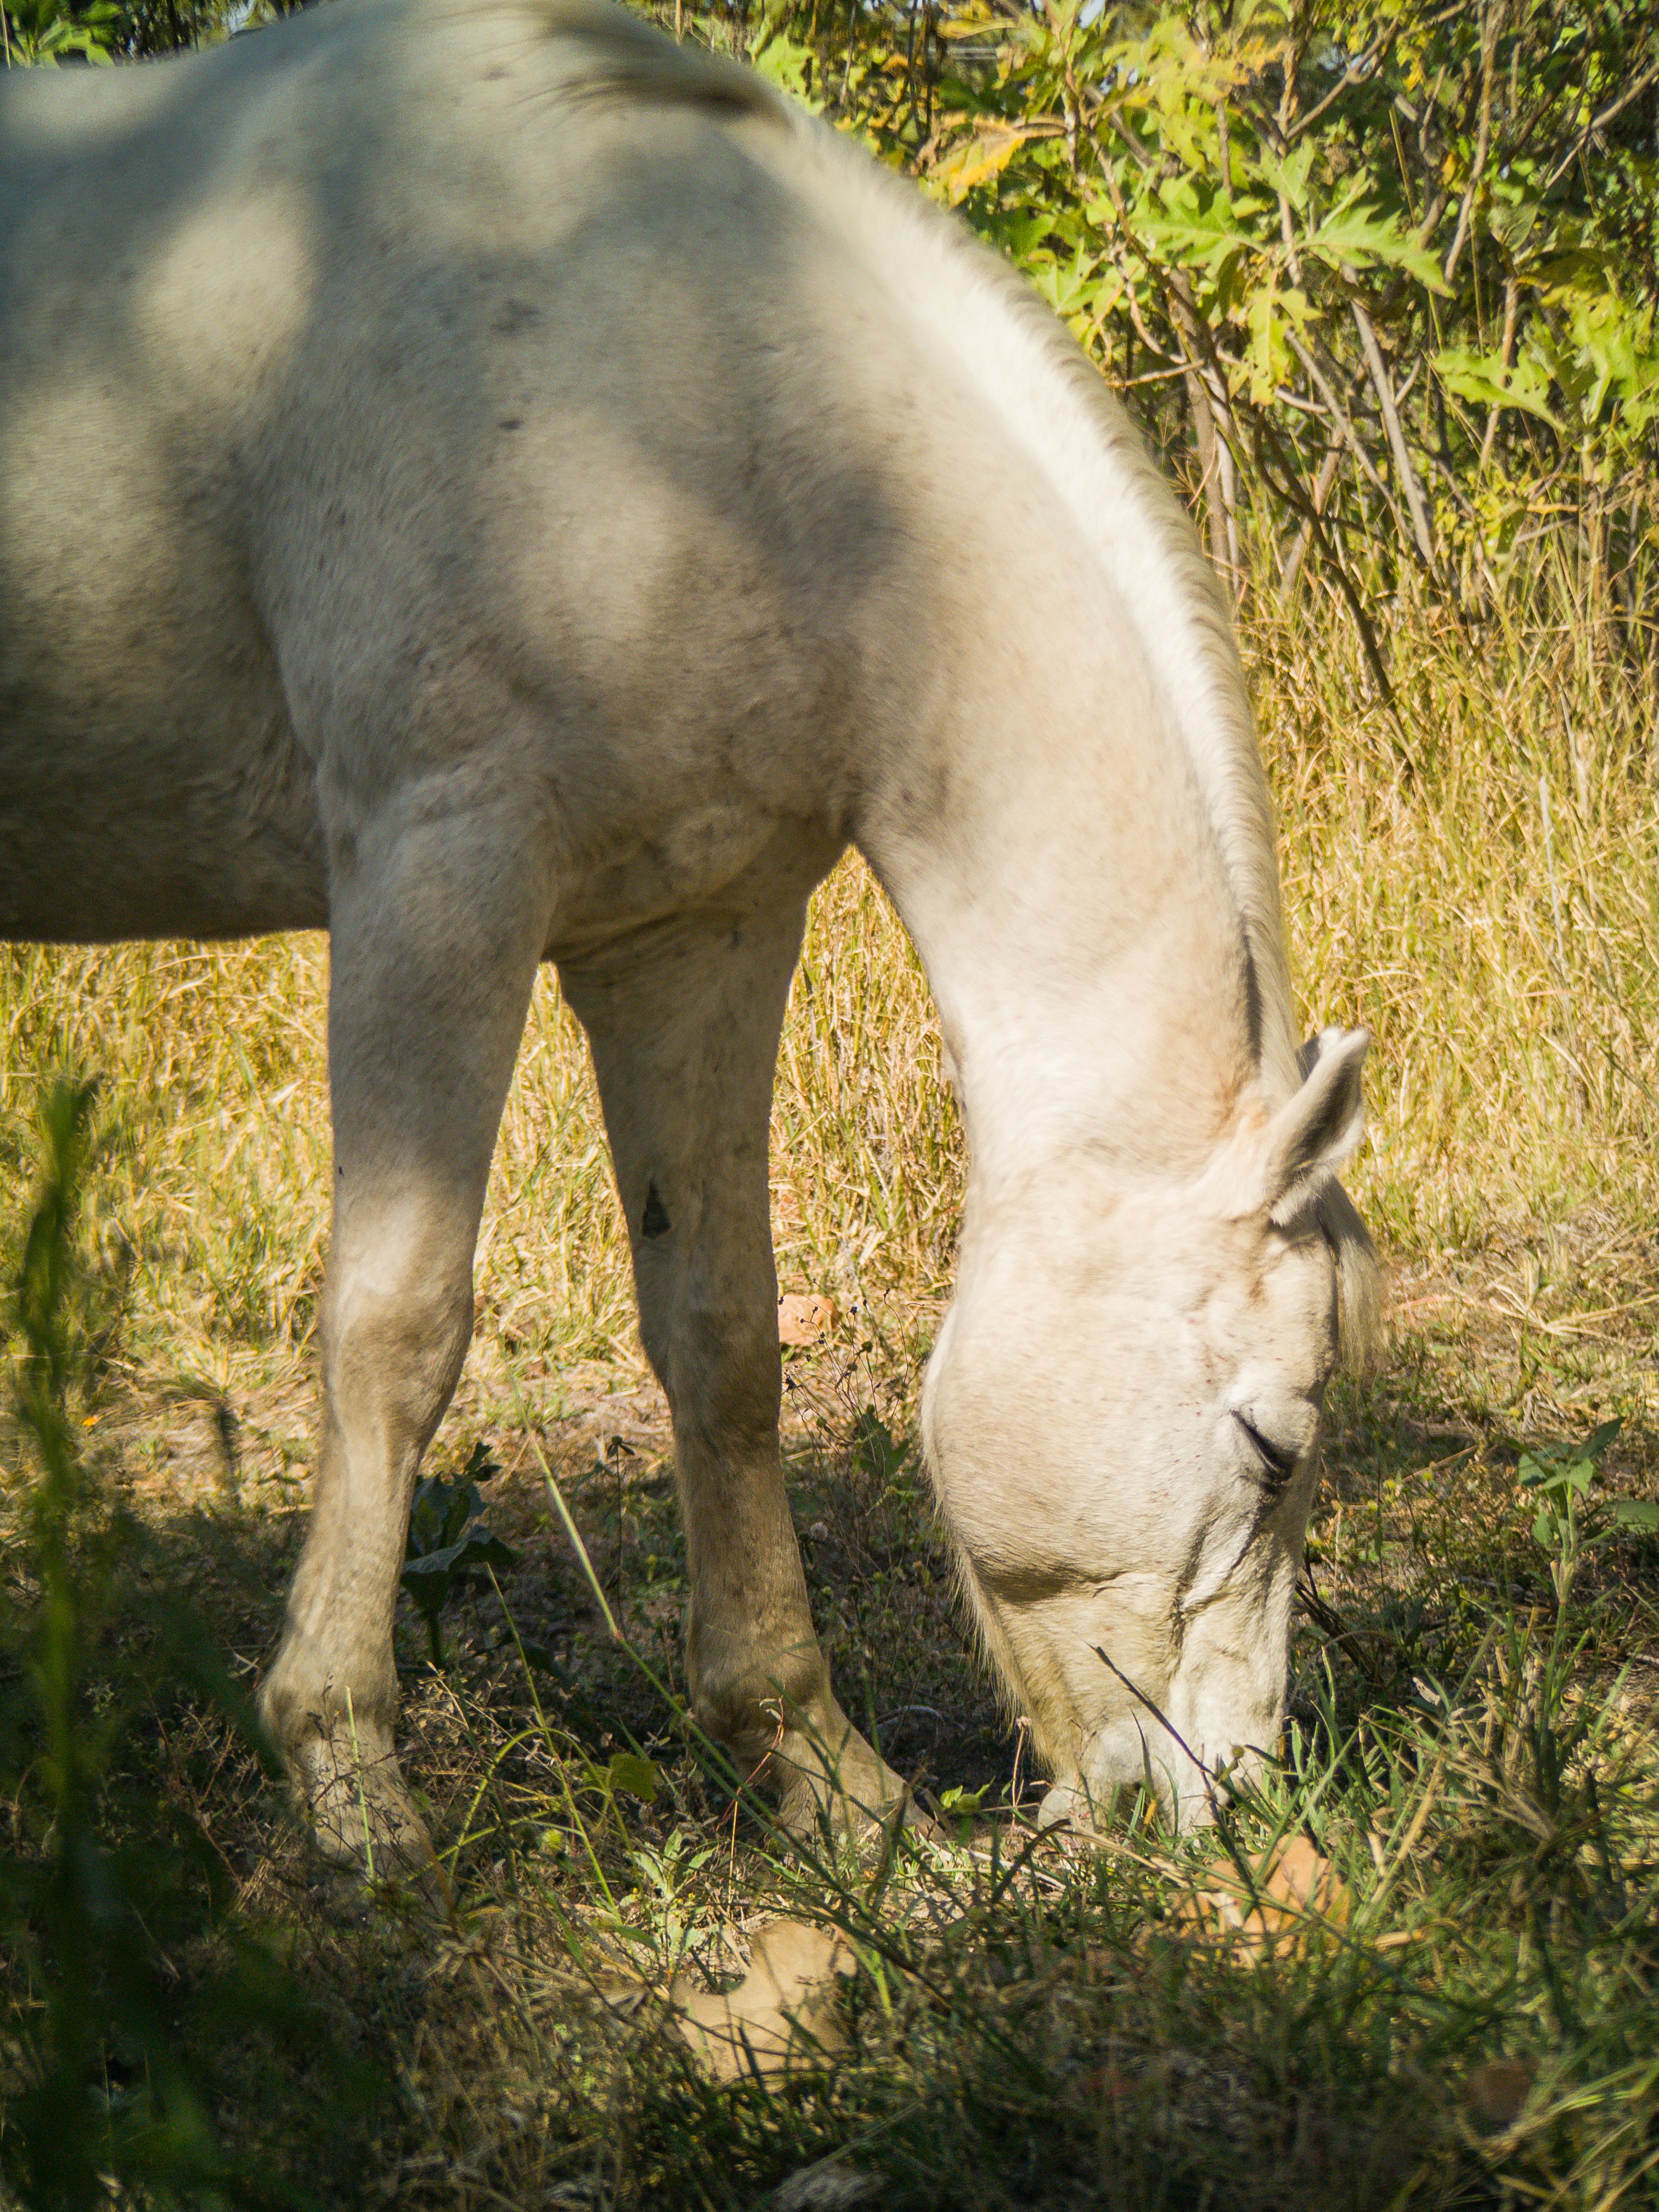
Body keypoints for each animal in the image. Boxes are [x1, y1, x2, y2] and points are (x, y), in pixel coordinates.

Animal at [0, 0, 1380, 1869]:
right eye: (1271, 1448)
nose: (1230, 1808)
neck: (697, 383)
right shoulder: (440, 880)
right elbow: (395, 1329)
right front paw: (348, 1778)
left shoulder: (696, 933)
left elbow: (721, 1337)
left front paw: (821, 1775)